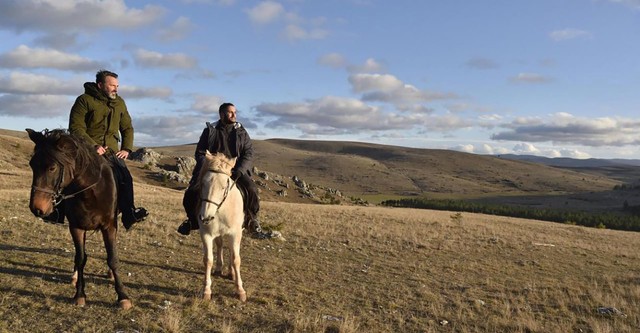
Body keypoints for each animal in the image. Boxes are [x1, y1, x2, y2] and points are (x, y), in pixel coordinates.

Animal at [26, 127, 132, 308]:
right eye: (32, 165)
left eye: (52, 168)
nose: (37, 208)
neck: (90, 190)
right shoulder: (76, 226)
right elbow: (81, 258)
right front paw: (80, 294)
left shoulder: (109, 226)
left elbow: (112, 258)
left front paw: (123, 296)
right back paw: (74, 277)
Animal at [195, 150, 245, 300]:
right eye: (203, 183)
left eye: (224, 186)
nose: (206, 217)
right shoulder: (206, 233)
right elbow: (208, 260)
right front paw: (206, 290)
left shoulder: (235, 233)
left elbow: (236, 259)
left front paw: (240, 290)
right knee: (220, 245)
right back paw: (219, 268)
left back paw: (231, 272)